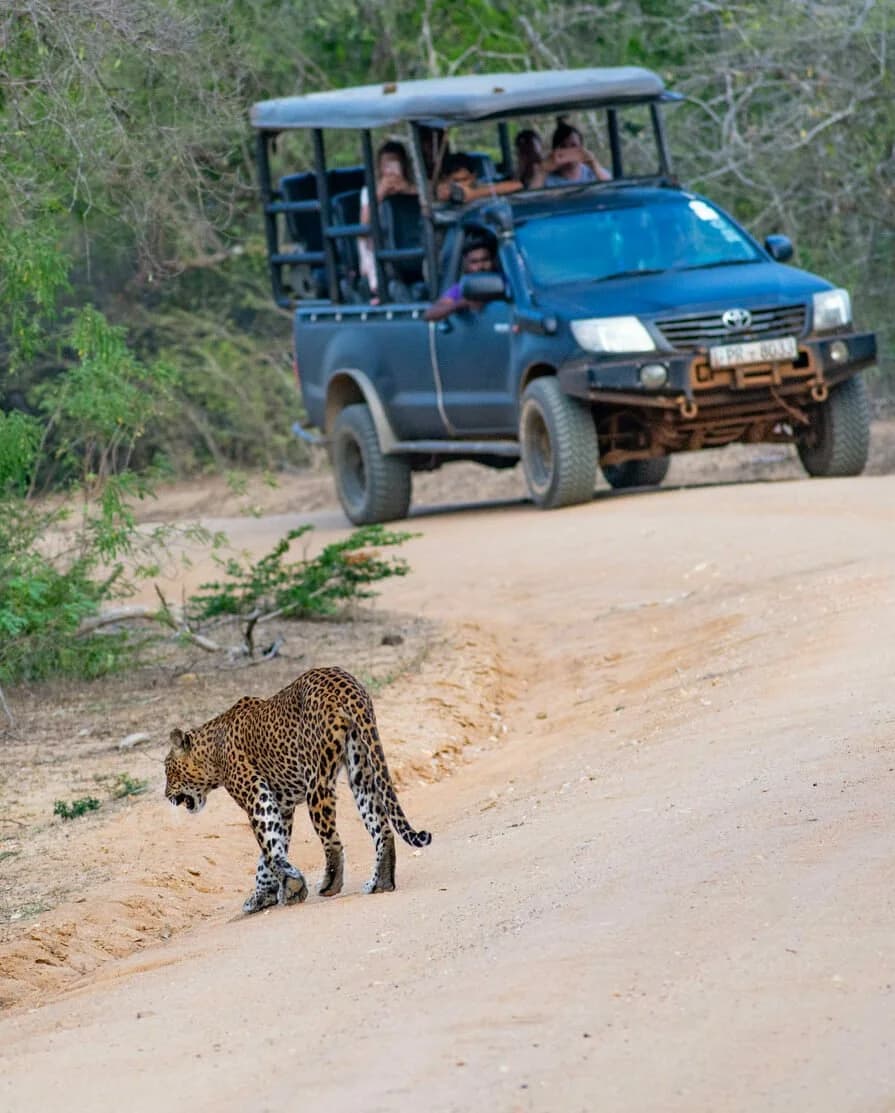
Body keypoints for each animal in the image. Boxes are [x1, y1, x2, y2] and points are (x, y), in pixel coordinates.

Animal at [164, 666, 432, 914]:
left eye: (168, 771)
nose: (166, 796)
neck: (212, 751)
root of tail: (346, 684)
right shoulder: (281, 806)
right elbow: (271, 848)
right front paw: (265, 895)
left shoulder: (256, 796)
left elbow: (269, 847)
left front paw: (288, 887)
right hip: (361, 768)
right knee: (381, 825)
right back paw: (381, 882)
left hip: (317, 779)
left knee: (332, 839)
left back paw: (330, 884)